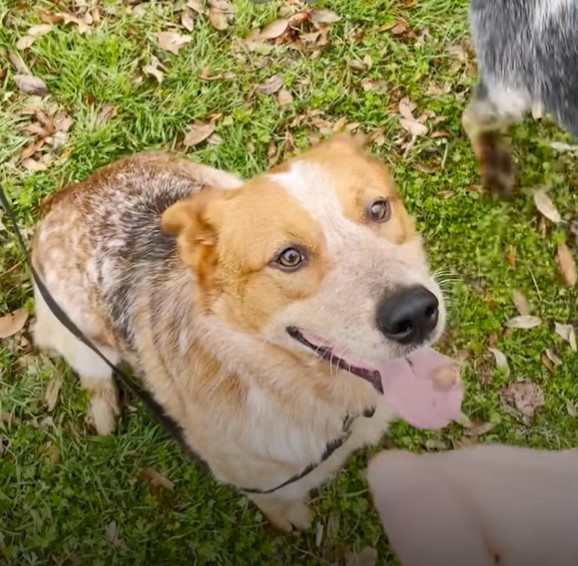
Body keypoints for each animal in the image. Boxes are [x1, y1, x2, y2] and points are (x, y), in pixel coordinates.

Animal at [29, 135, 462, 536]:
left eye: (377, 208)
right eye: (289, 257)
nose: (415, 313)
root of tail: (68, 194)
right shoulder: (257, 481)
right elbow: (274, 503)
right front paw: (289, 518)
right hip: (76, 335)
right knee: (93, 373)